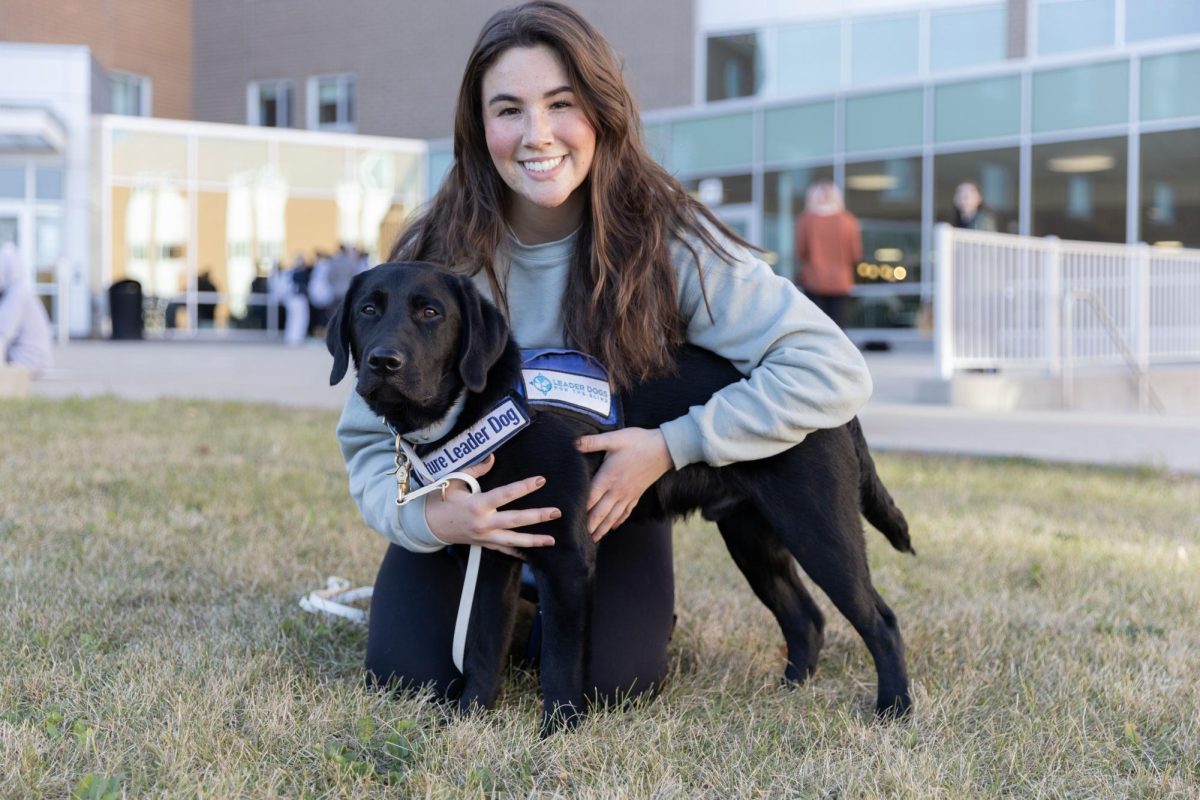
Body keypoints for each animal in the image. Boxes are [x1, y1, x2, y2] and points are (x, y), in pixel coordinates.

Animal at [324, 261, 912, 734]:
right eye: (368, 309)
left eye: (431, 312)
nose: (383, 362)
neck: (489, 407)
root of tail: (846, 413)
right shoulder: (491, 553)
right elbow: (481, 650)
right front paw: (468, 721)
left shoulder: (567, 560)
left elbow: (561, 662)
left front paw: (557, 733)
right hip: (753, 540)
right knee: (806, 617)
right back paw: (789, 694)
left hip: (819, 529)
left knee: (880, 621)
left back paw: (895, 711)